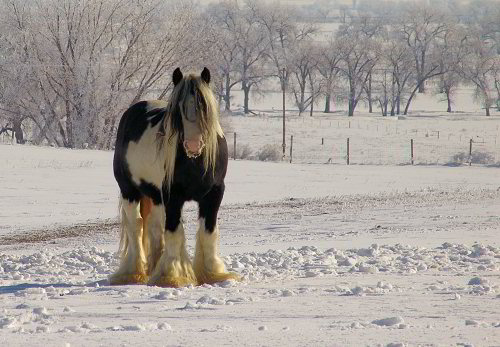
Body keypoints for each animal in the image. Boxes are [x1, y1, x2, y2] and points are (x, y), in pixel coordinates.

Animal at [110, 68, 239, 288]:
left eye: (204, 106)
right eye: (178, 109)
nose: (193, 144)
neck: (194, 162)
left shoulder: (214, 194)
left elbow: (208, 232)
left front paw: (213, 274)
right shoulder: (172, 196)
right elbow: (174, 233)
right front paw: (172, 275)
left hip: (154, 196)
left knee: (153, 228)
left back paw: (153, 268)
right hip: (130, 191)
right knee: (136, 227)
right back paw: (133, 273)